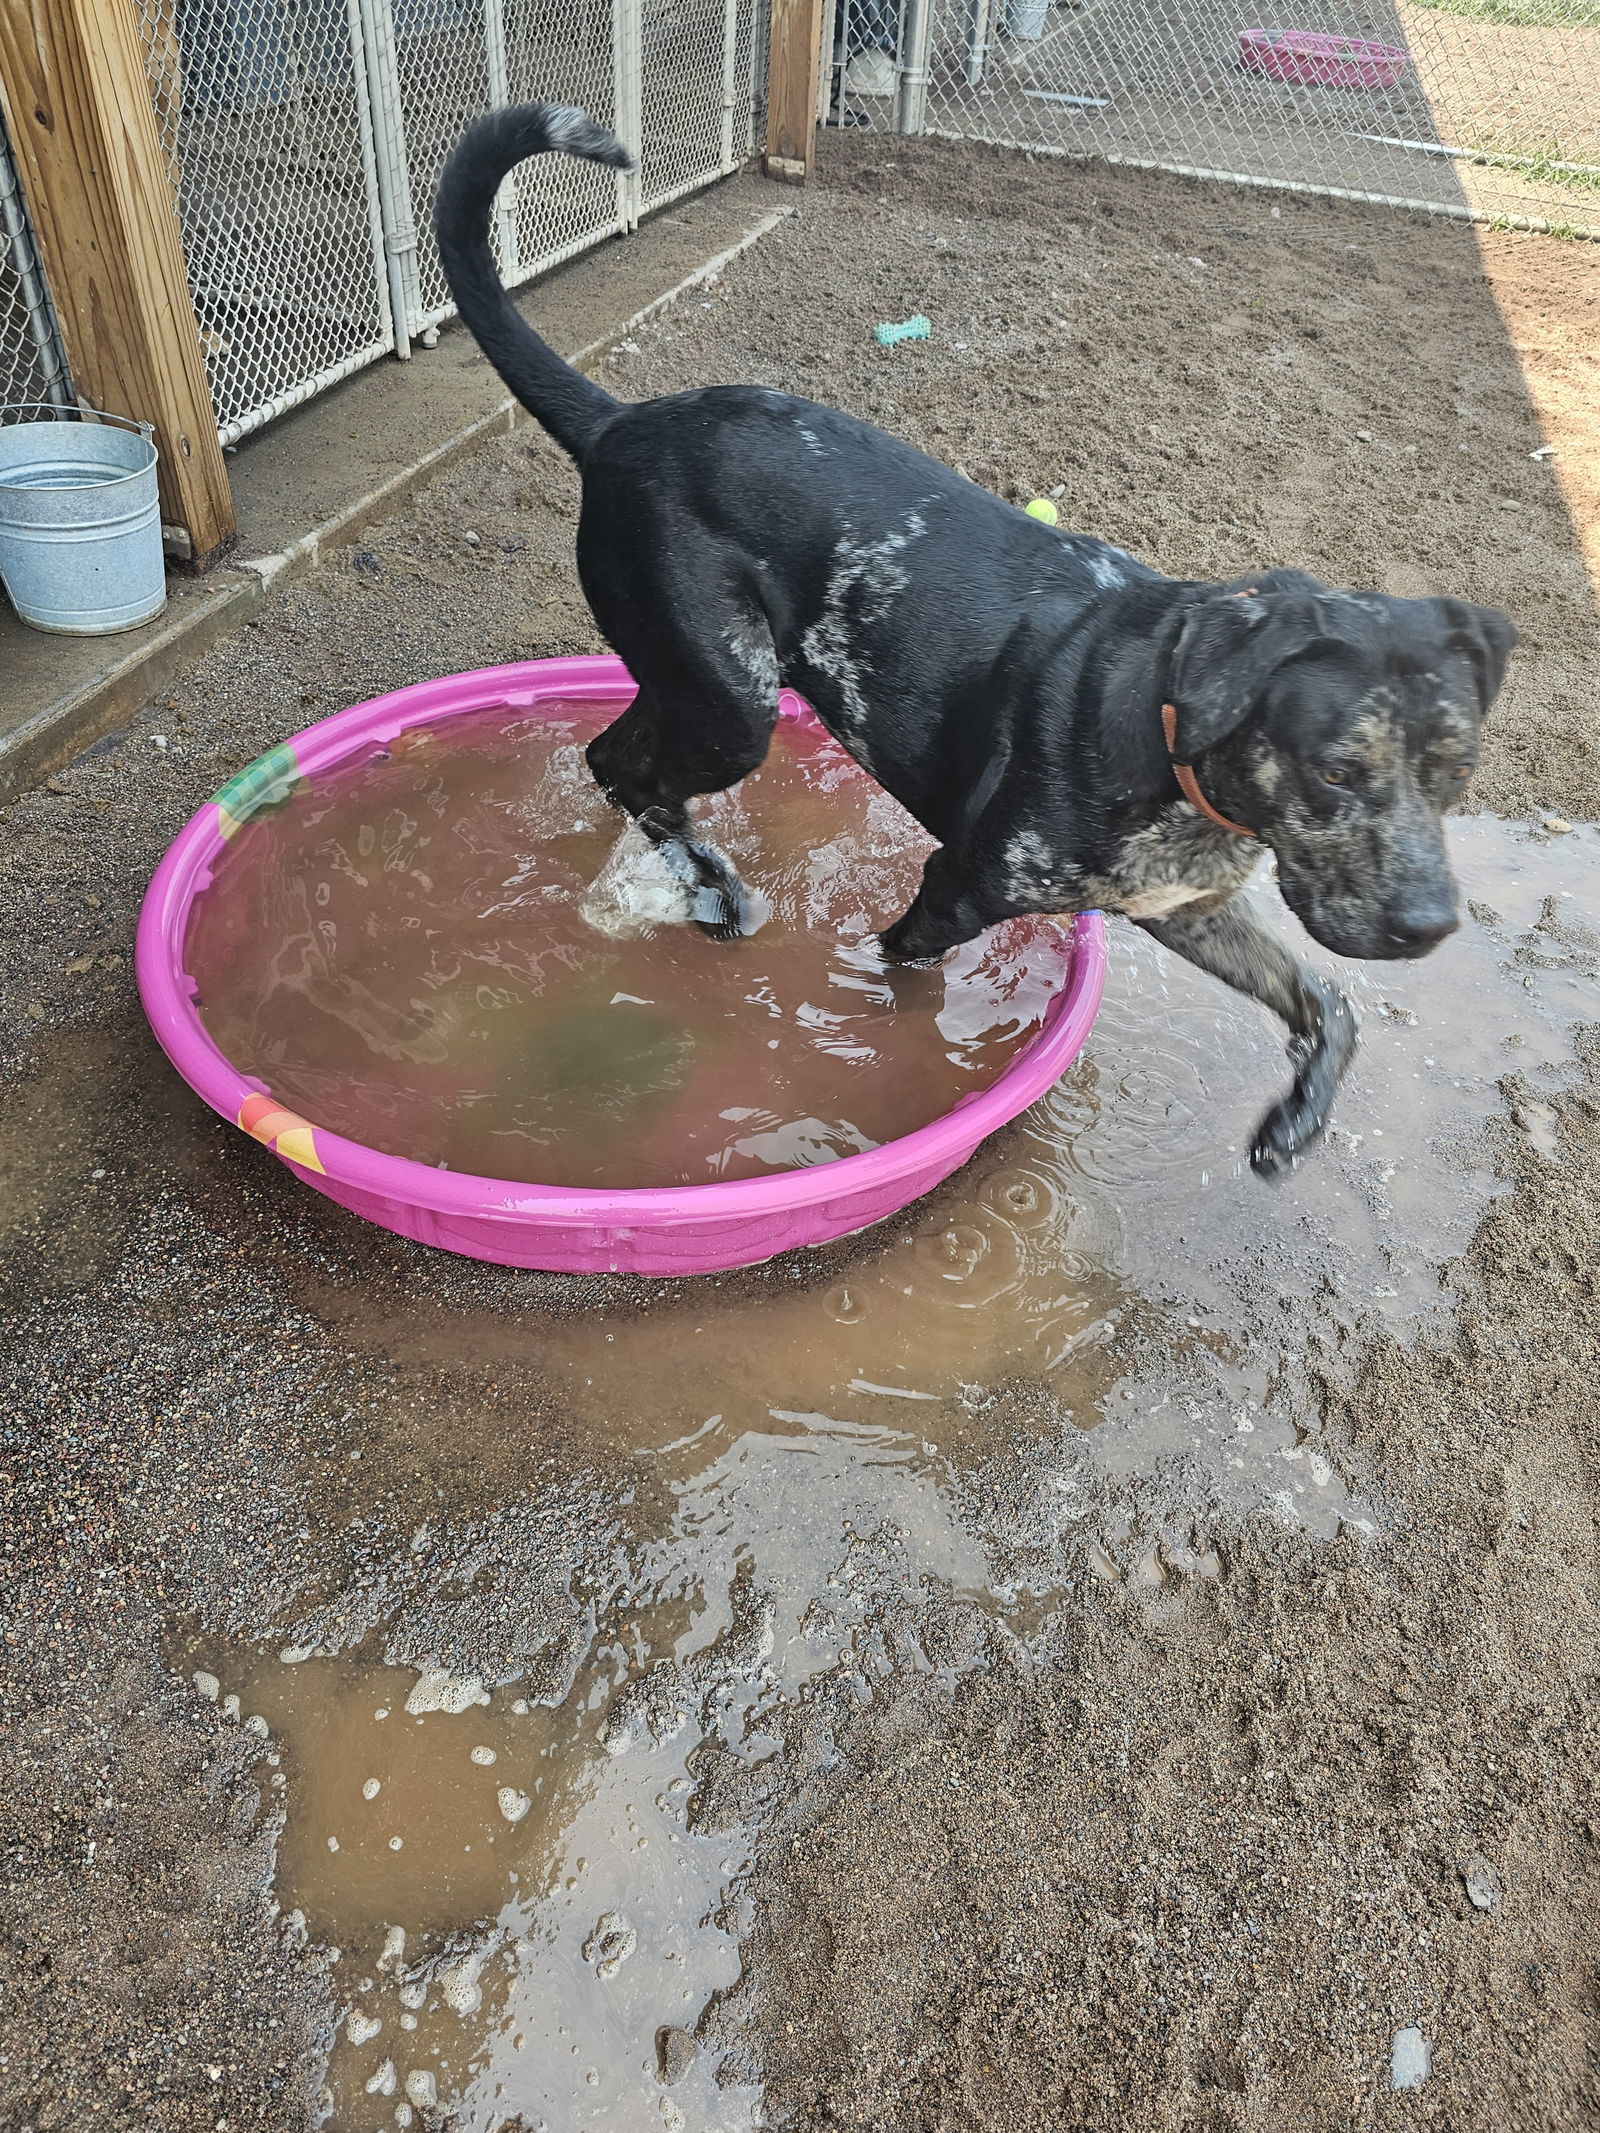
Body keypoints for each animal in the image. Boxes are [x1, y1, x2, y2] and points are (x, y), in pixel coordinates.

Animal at [435, 103, 1518, 1185]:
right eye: (1335, 770)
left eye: (1457, 775)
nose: (1429, 926)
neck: (1167, 725)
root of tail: (621, 424)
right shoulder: (952, 892)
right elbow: (903, 981)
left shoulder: (1190, 910)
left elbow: (1326, 1001)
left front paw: (1295, 1117)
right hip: (731, 703)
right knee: (627, 770)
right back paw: (712, 890)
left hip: (695, 683)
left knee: (612, 759)